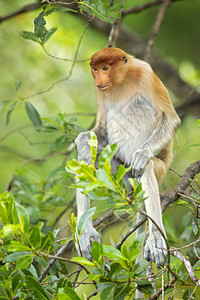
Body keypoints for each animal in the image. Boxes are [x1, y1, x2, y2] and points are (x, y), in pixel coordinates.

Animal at [75, 48, 181, 268]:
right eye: (95, 69)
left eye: (105, 68)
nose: (98, 81)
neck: (122, 80)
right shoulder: (101, 93)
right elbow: (99, 131)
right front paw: (82, 139)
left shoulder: (147, 74)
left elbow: (171, 118)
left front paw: (141, 154)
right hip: (119, 174)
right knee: (89, 150)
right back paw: (85, 231)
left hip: (159, 169)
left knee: (146, 168)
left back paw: (156, 239)